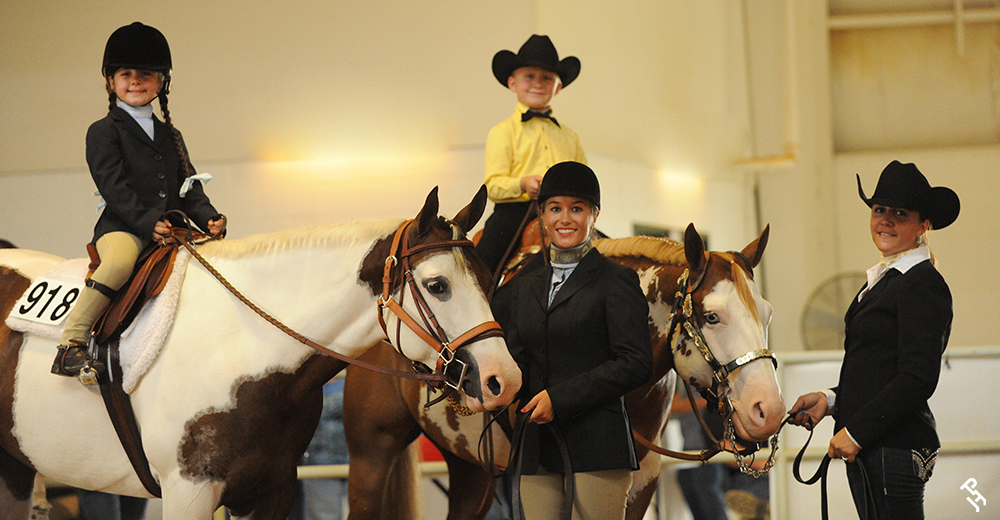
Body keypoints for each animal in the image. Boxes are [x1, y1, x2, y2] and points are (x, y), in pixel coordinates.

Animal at [1, 187, 524, 520]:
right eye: (437, 286)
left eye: (487, 277)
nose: (504, 380)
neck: (244, 344)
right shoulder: (188, 493)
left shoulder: (271, 490)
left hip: (14, 469)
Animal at [340, 223, 784, 520]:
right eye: (712, 316)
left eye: (768, 313)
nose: (769, 411)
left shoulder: (641, 481)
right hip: (372, 455)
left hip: (472, 471)